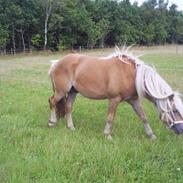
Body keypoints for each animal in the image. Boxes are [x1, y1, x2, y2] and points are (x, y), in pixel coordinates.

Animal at [48, 46, 183, 139]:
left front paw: (151, 136)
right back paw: (51, 122)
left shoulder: (134, 100)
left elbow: (143, 117)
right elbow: (110, 117)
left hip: (72, 92)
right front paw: (107, 135)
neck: (131, 75)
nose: (181, 130)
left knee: (68, 107)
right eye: (175, 110)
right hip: (61, 91)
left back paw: (71, 127)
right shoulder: (114, 99)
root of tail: (57, 63)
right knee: (52, 101)